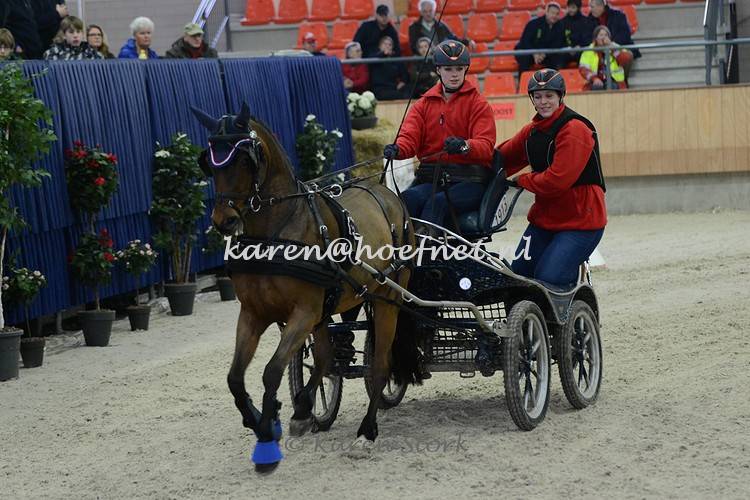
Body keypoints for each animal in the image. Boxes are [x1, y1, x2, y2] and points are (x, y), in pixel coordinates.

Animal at [192, 104, 418, 472]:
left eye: (244, 160)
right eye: (210, 162)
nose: (223, 221)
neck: (275, 233)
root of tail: (386, 193)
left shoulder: (303, 312)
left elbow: (271, 371)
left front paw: (267, 435)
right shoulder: (254, 314)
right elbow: (236, 378)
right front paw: (268, 417)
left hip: (388, 299)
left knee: (381, 365)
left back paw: (366, 432)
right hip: (330, 310)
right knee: (327, 358)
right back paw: (305, 409)